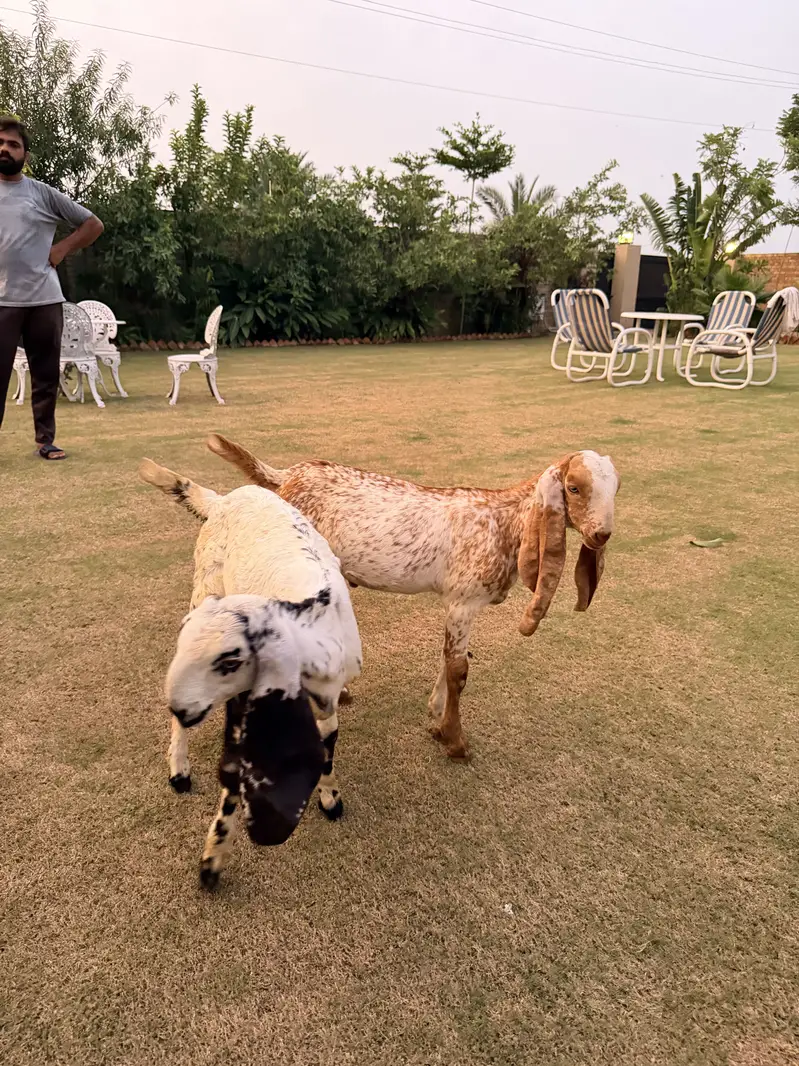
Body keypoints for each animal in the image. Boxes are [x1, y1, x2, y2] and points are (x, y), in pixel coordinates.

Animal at [139, 459, 362, 887]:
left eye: (229, 661)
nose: (180, 707)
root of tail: (224, 498)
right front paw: (212, 861)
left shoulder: (325, 700)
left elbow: (325, 748)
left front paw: (330, 799)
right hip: (205, 581)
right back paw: (179, 768)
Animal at [207, 435, 619, 760]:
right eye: (574, 488)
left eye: (615, 489)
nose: (601, 534)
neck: (504, 521)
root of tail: (287, 476)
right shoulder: (463, 600)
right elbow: (459, 669)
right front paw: (454, 740)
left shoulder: (459, 604)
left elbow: (450, 659)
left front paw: (436, 715)